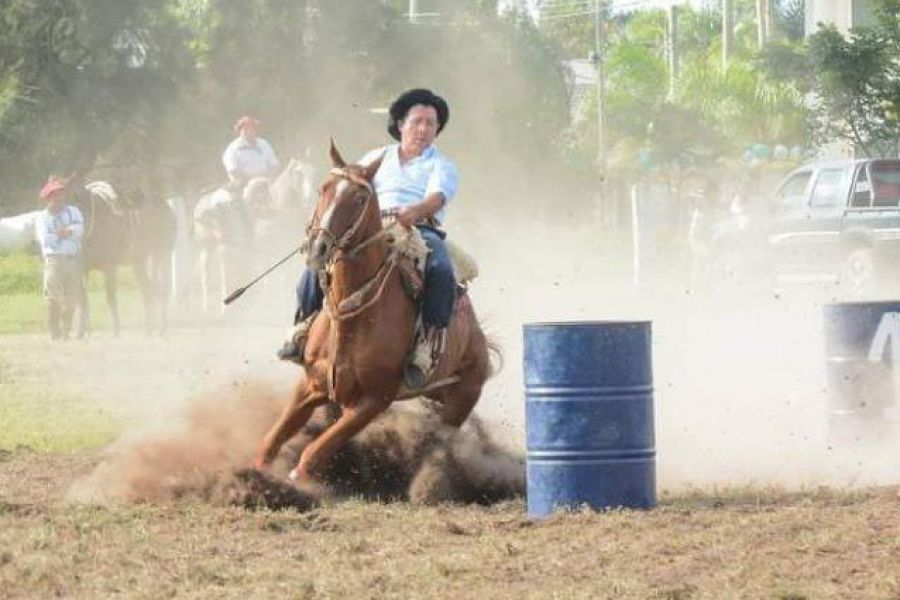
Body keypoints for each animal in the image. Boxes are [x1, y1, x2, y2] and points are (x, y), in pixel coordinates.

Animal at [192, 157, 314, 316]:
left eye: (313, 171)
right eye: (298, 173)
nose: (309, 198)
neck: (274, 204)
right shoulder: (267, 248)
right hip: (218, 247)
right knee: (216, 275)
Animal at [253, 142, 492, 482]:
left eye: (359, 198)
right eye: (323, 188)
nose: (318, 247)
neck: (352, 319)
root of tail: (479, 339)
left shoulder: (374, 400)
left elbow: (314, 453)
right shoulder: (312, 385)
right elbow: (270, 443)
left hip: (460, 401)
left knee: (437, 446)